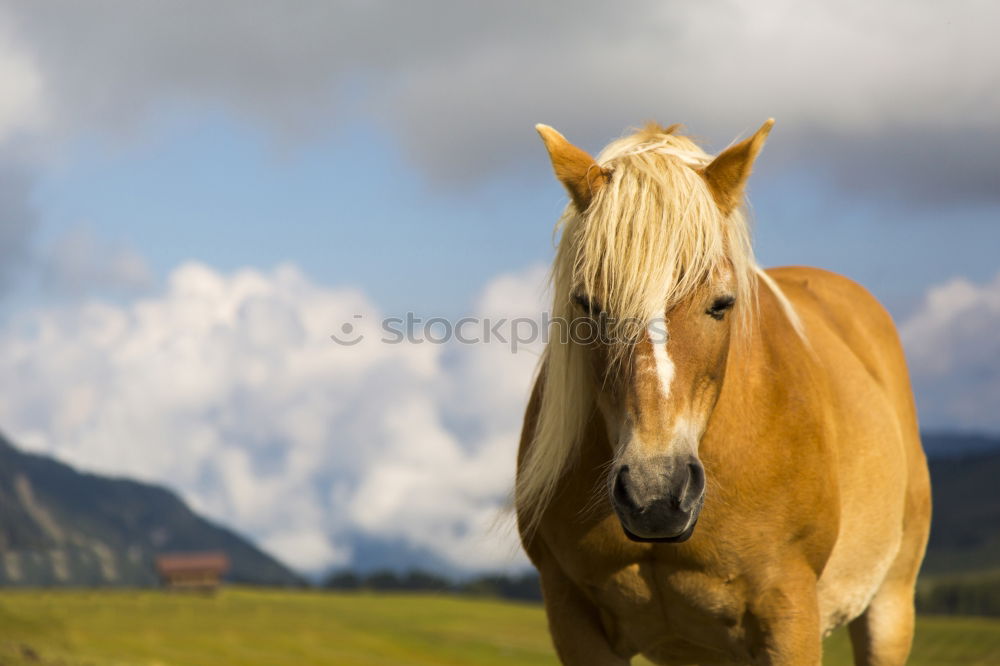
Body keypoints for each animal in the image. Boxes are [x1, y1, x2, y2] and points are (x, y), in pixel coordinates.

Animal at [520, 120, 932, 664]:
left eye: (722, 303)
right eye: (586, 304)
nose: (656, 495)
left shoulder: (790, 616)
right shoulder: (572, 618)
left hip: (889, 606)